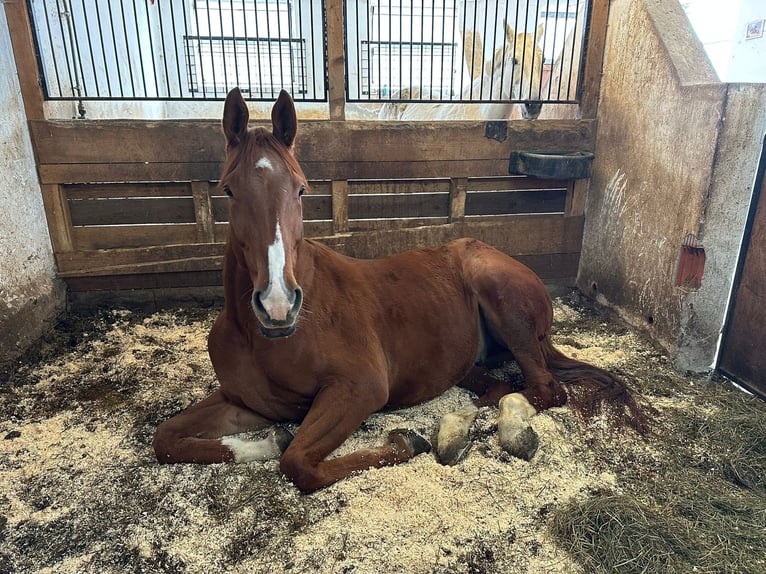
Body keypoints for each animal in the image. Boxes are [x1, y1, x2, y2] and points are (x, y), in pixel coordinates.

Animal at [153, 89, 646, 493]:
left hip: (506, 308)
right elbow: (167, 438)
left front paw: (405, 442)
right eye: (228, 191)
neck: (266, 340)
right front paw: (267, 442)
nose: (277, 305)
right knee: (493, 387)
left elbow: (299, 464)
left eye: (301, 190)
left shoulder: (359, 389)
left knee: (541, 391)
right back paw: (457, 426)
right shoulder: (247, 403)